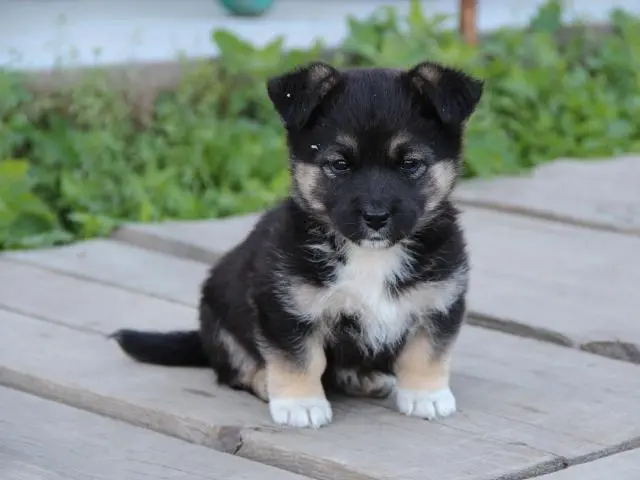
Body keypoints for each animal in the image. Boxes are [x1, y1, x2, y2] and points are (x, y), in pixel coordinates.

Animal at [112, 59, 482, 428]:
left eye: (410, 164)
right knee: (236, 371)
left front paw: (426, 395)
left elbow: (426, 353)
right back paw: (266, 382)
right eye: (339, 164)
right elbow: (300, 359)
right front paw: (300, 403)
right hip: (218, 323)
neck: (369, 257)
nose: (376, 217)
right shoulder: (287, 309)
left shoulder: (439, 302)